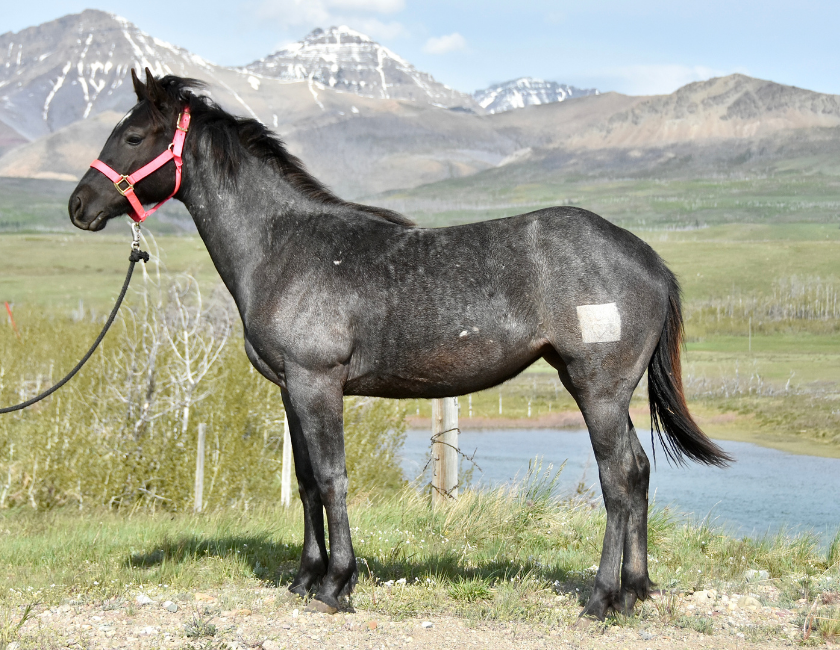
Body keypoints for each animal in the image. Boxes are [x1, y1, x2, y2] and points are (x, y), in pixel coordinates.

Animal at [68, 69, 731, 620]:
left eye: (133, 136)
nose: (78, 205)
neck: (283, 247)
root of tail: (647, 257)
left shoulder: (317, 383)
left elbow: (332, 477)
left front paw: (337, 584)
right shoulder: (291, 389)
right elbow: (306, 480)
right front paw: (305, 578)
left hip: (598, 389)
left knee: (618, 478)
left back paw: (601, 597)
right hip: (606, 392)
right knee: (638, 472)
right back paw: (635, 591)